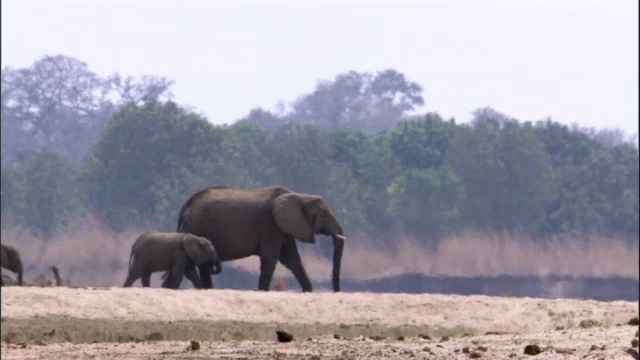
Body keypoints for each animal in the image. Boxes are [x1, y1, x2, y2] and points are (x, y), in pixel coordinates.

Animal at [176, 187, 344, 292]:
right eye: (324, 215)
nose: (336, 291)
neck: (299, 195)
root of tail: (186, 206)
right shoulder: (270, 225)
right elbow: (271, 258)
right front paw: (262, 290)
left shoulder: (283, 228)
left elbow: (291, 259)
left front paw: (307, 292)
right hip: (197, 227)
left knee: (203, 265)